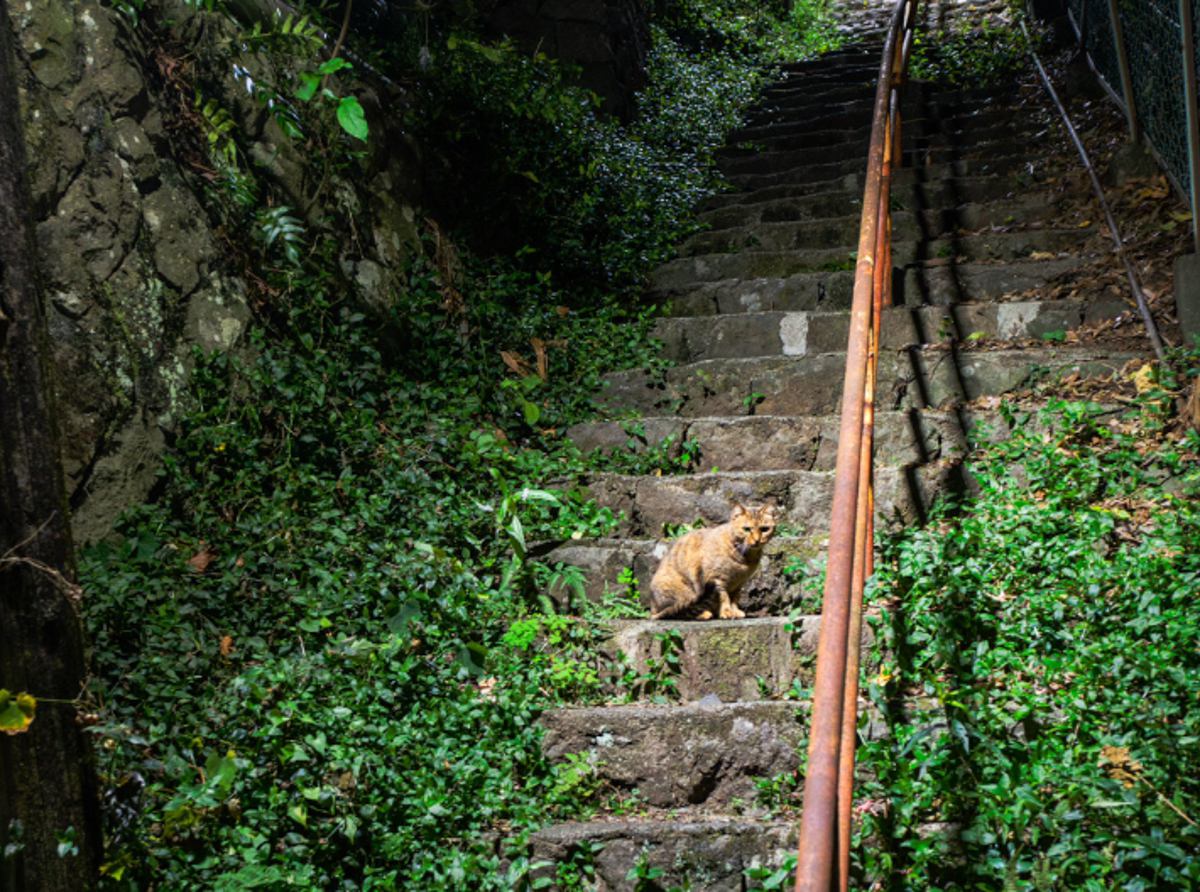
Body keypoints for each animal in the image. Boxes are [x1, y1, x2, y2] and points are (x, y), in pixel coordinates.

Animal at [648, 501, 777, 619]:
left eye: (764, 529)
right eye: (747, 529)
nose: (757, 540)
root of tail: (653, 610)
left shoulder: (739, 583)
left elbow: (735, 599)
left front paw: (735, 611)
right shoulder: (717, 579)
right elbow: (724, 597)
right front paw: (726, 612)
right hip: (684, 591)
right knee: (679, 611)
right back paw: (704, 614)